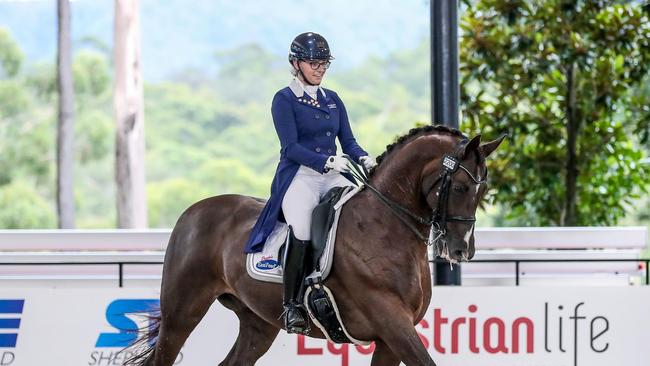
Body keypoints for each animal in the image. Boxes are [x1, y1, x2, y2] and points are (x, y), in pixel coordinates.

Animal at [124, 126, 504, 366]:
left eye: (483, 189)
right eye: (460, 188)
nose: (461, 250)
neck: (385, 225)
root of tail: (192, 211)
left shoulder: (388, 339)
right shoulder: (393, 324)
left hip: (258, 324)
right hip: (182, 313)